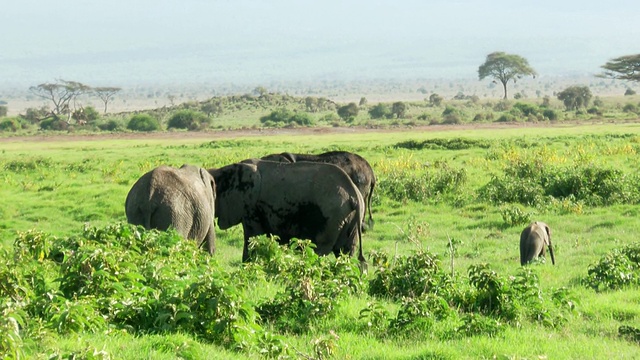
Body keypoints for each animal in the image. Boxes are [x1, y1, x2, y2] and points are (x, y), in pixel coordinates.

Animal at [208, 159, 362, 262]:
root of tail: (353, 194)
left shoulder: (251, 208)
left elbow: (253, 239)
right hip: (349, 219)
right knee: (346, 252)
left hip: (331, 218)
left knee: (319, 249)